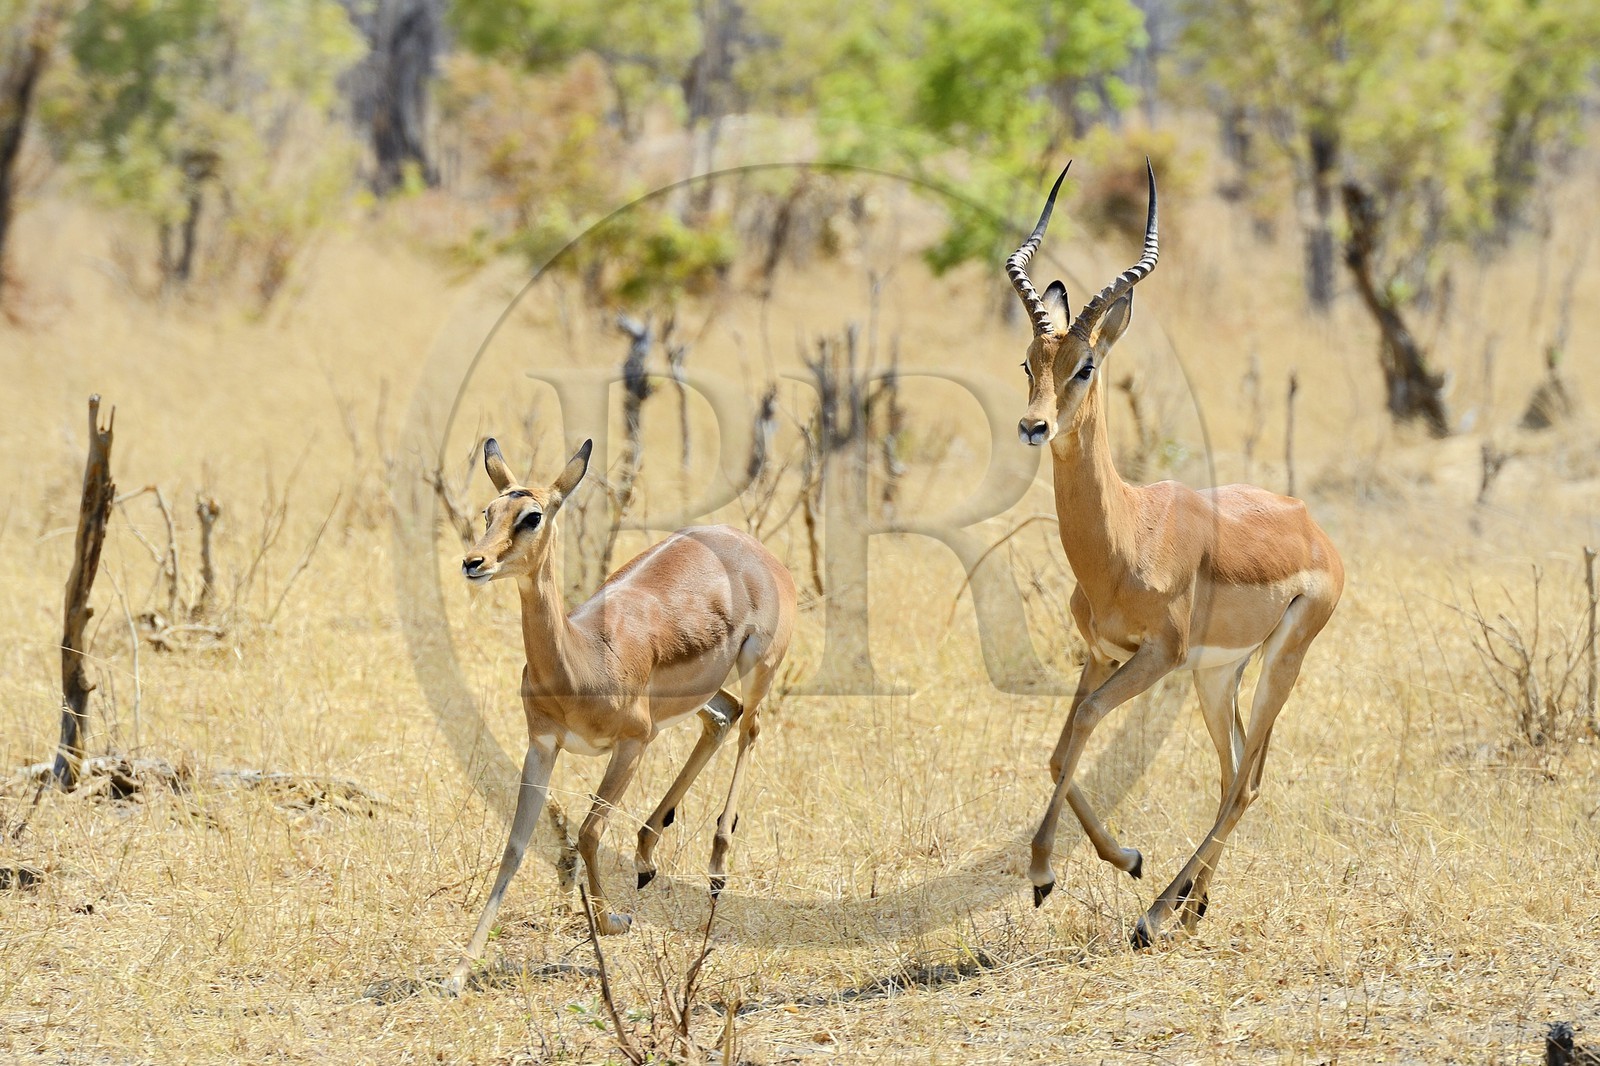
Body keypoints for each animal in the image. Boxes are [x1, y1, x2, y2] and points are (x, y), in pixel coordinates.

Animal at [450, 437, 795, 990]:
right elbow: (515, 847)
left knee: (750, 727)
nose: (473, 561)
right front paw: (460, 972)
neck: (583, 658)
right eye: (489, 511)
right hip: (699, 694)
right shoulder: (541, 747)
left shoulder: (632, 744)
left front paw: (613, 920)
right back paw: (645, 860)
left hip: (758, 667)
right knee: (723, 717)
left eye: (532, 516)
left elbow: (589, 833)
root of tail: (755, 549)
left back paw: (717, 865)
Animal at [1007, 163, 1344, 946]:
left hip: (1279, 661)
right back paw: (1191, 905)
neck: (1130, 534)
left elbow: (1086, 723)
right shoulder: (1102, 651)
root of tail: (1310, 524)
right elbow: (1059, 748)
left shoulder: (1156, 656)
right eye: (1028, 362)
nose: (1034, 427)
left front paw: (1046, 873)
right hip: (1217, 677)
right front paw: (1122, 858)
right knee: (1235, 775)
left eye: (1086, 365)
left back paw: (1156, 916)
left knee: (1248, 779)